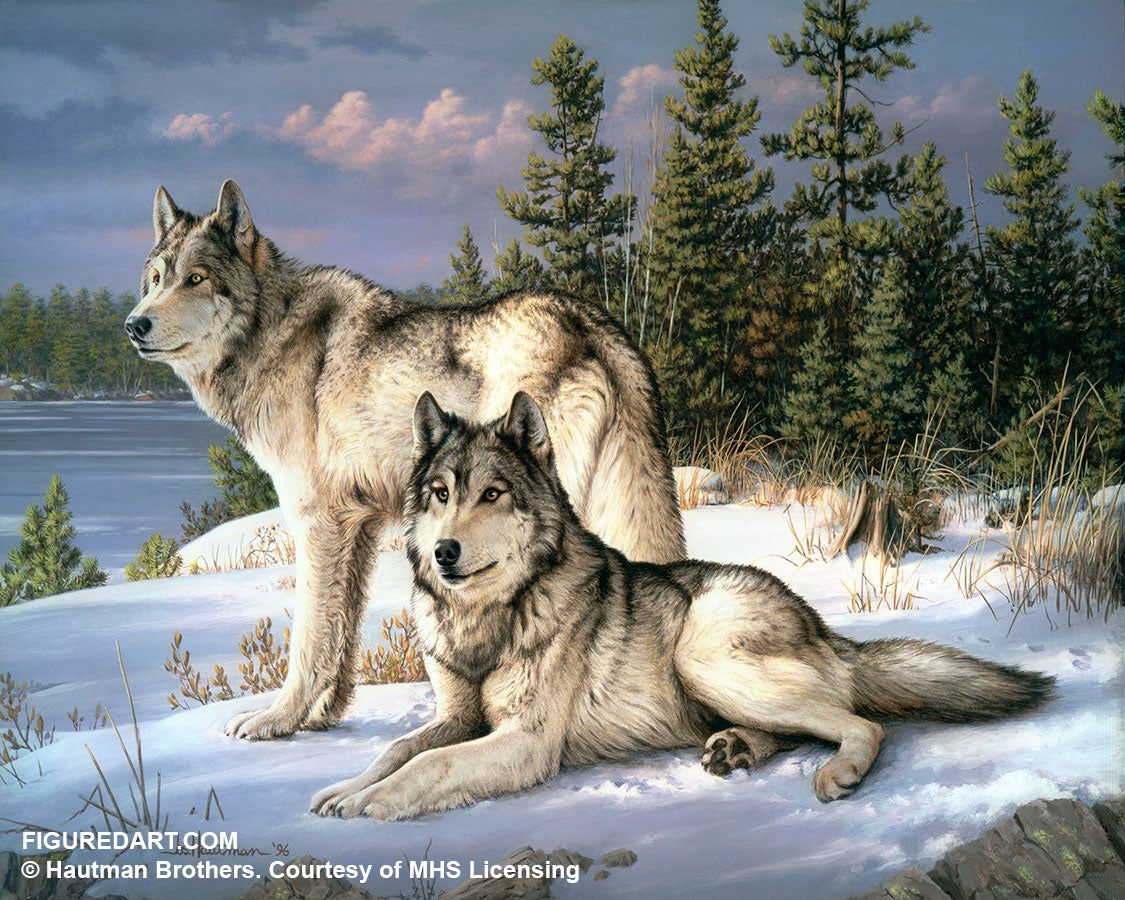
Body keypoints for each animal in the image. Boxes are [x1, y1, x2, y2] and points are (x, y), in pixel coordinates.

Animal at [124, 181, 685, 761]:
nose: (134, 324)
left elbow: (308, 638)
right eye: (157, 278)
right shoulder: (358, 527)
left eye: (195, 279)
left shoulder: (316, 523)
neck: (270, 334)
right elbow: (342, 633)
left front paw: (277, 720)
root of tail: (592, 322)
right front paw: (323, 717)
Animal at [310, 392, 1055, 819]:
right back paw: (736, 748)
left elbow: (427, 765)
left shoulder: (526, 741)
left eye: (492, 495)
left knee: (862, 725)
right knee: (810, 724)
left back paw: (835, 773)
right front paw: (345, 788)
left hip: (703, 658)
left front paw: (371, 805)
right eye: (440, 494)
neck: (488, 620)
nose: (444, 553)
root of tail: (820, 626)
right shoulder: (457, 718)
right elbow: (399, 749)